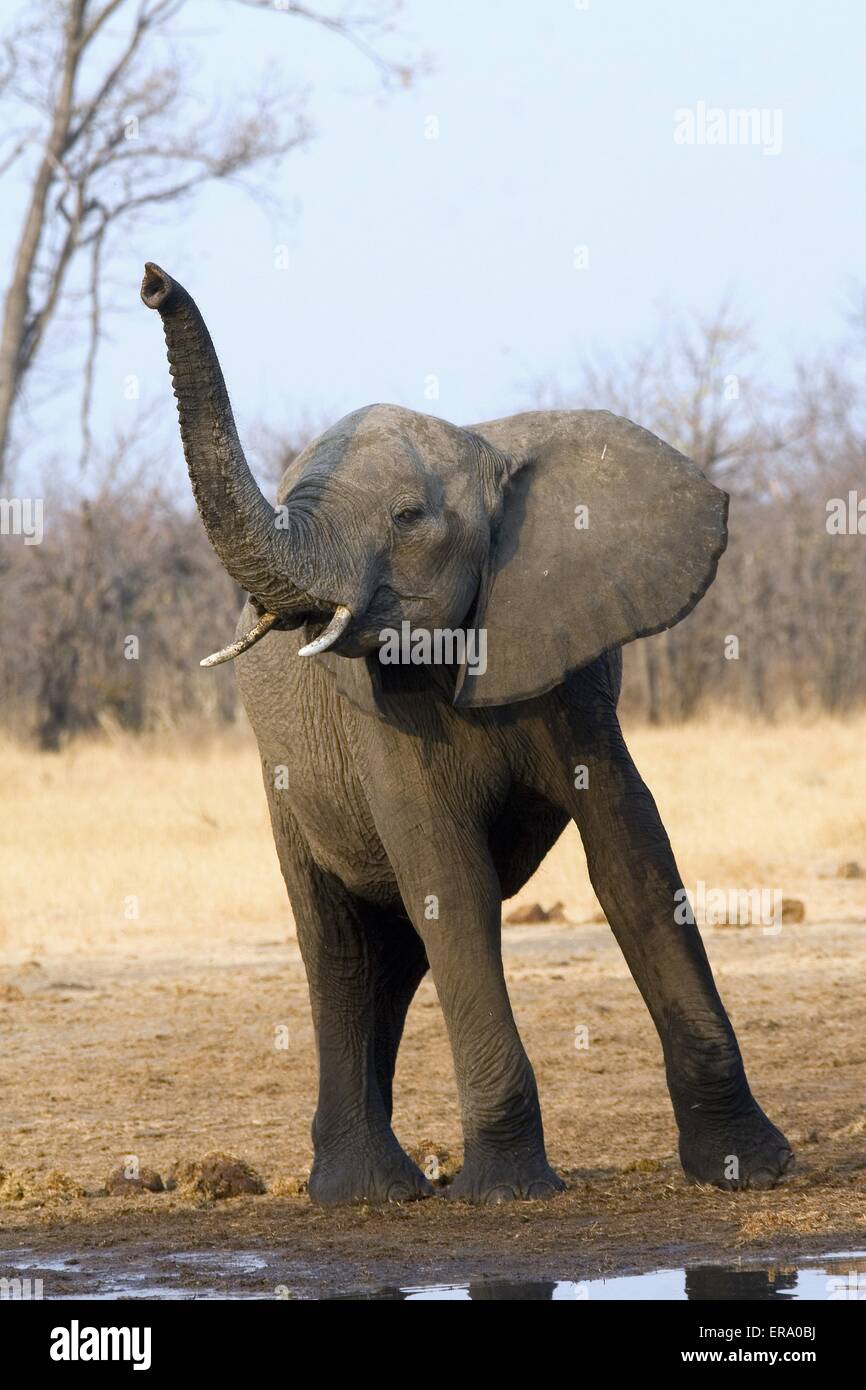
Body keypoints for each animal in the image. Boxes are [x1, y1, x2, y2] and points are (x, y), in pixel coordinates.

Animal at [136, 262, 795, 1206]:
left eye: (409, 516)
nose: (152, 281)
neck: (482, 445)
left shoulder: (572, 676)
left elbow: (632, 857)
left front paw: (751, 1171)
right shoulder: (383, 717)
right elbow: (454, 881)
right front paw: (511, 1192)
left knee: (393, 953)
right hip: (282, 785)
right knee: (340, 945)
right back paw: (367, 1192)